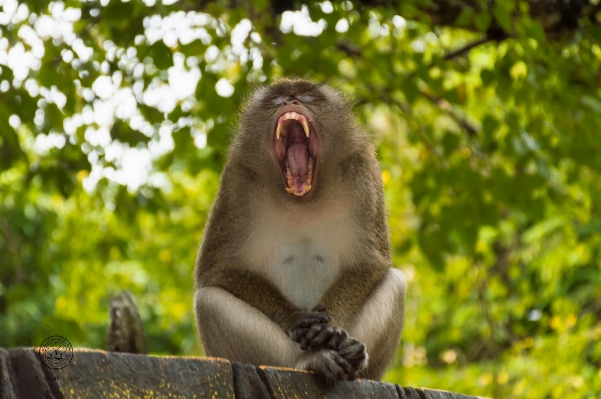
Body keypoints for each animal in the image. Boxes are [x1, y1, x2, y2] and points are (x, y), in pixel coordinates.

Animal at [195, 79, 406, 382]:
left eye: (307, 97)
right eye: (276, 100)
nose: (290, 101)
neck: (303, 199)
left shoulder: (362, 168)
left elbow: (370, 262)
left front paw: (330, 329)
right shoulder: (237, 180)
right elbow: (216, 270)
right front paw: (296, 318)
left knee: (396, 283)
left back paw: (354, 357)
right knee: (208, 302)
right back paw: (309, 361)